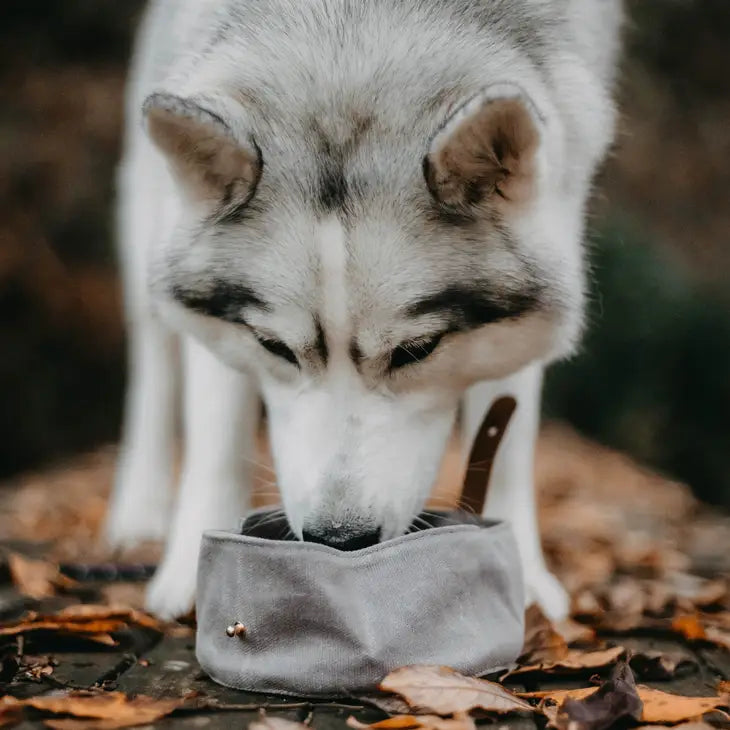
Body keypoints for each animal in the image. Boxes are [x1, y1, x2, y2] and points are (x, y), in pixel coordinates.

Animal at [106, 0, 620, 616]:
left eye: (417, 350)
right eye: (275, 347)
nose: (340, 540)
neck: (355, 33)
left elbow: (505, 446)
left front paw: (520, 575)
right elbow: (216, 436)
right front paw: (190, 572)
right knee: (155, 365)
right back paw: (140, 510)